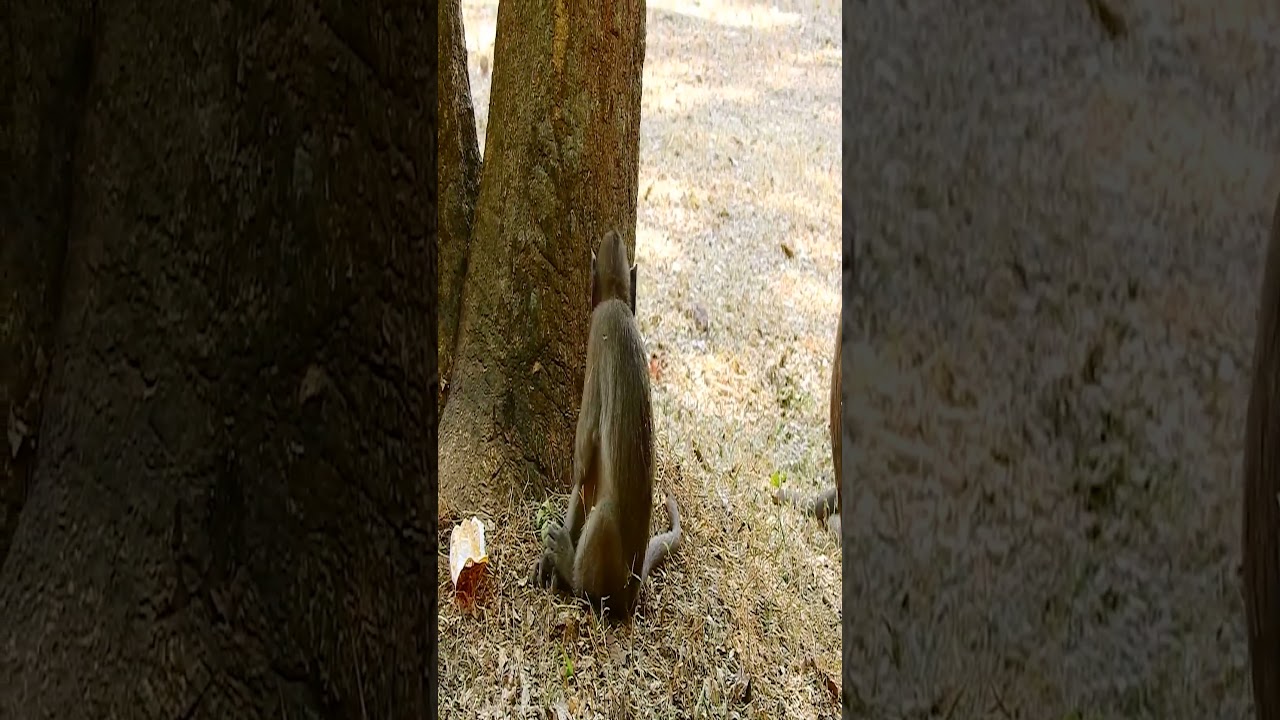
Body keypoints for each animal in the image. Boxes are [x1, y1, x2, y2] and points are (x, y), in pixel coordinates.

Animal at [533, 229, 682, 622]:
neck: (616, 303)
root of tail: (631, 591)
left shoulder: (597, 334)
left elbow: (583, 463)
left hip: (609, 571)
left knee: (602, 513)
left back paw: (570, 571)